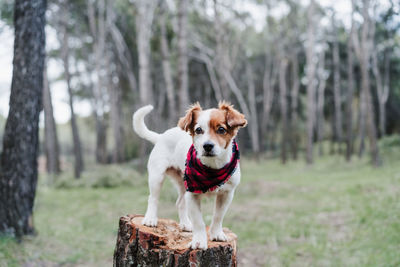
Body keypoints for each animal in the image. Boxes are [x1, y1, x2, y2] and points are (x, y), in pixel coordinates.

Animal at [133, 101, 245, 250]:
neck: (212, 169)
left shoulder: (226, 194)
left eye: (221, 129)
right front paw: (199, 241)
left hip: (182, 182)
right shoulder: (192, 194)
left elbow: (218, 216)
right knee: (153, 198)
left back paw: (185, 224)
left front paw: (216, 233)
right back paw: (150, 218)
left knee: (180, 202)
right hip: (157, 177)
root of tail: (161, 135)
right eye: (198, 130)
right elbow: (198, 221)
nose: (207, 146)